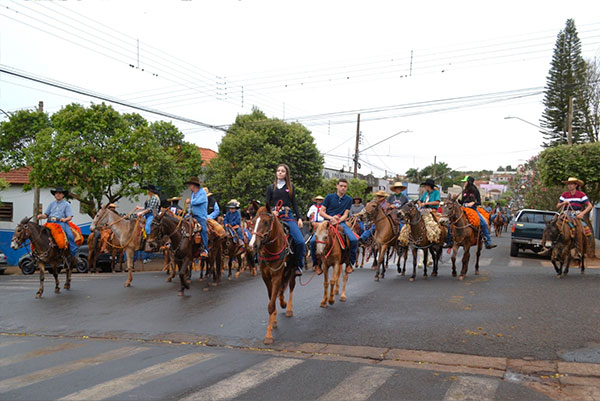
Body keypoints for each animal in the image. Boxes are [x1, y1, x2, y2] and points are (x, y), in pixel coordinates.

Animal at [248, 206, 296, 344]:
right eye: (253, 221)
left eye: (265, 222)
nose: (253, 245)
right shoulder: (266, 277)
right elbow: (272, 300)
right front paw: (273, 321)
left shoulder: (277, 276)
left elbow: (271, 304)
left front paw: (268, 336)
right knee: (282, 289)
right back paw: (282, 302)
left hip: (292, 269)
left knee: (290, 286)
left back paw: (288, 308)